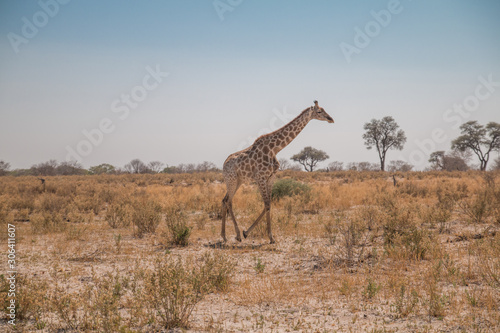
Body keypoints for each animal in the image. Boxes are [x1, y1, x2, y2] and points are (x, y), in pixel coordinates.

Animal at [221, 100, 334, 243]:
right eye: (319, 111)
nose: (331, 119)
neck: (274, 149)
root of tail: (224, 164)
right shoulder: (260, 177)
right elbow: (267, 204)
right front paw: (261, 235)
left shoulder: (271, 177)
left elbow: (268, 204)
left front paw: (257, 234)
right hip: (232, 180)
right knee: (229, 202)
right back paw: (236, 235)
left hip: (238, 181)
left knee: (224, 200)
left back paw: (224, 236)